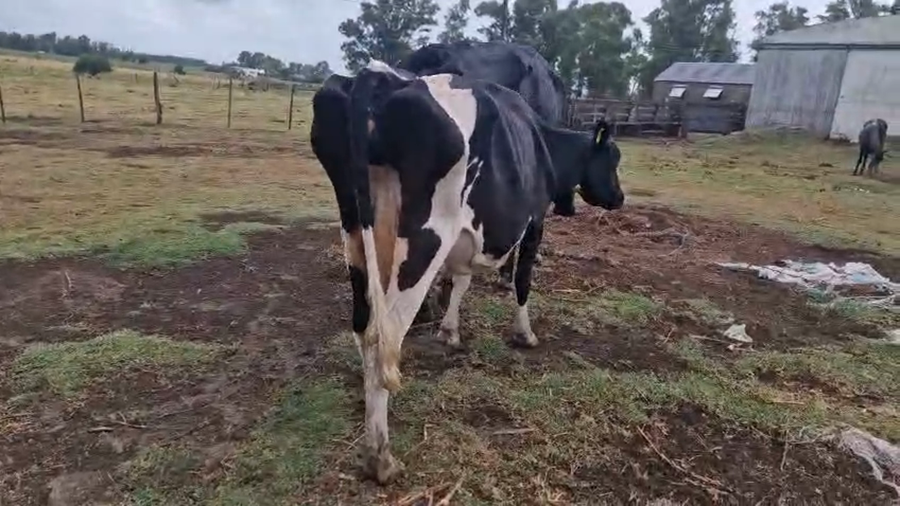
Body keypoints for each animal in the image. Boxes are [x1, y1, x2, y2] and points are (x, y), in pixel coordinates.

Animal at [311, 60, 624, 484]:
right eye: (614, 159)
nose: (620, 198)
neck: (543, 144)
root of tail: (376, 77)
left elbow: (459, 279)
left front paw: (450, 330)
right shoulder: (535, 221)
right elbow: (522, 281)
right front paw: (524, 334)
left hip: (356, 233)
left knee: (363, 327)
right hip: (426, 235)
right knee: (384, 335)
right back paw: (382, 458)